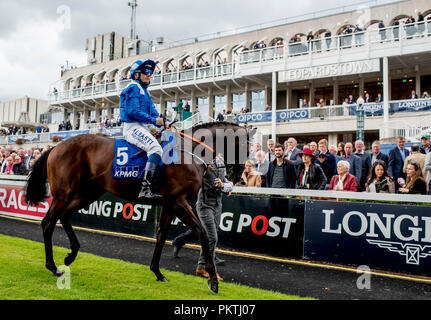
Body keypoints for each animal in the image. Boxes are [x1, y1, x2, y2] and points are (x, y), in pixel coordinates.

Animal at [24, 121, 253, 294]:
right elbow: (202, 233)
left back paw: (70, 255)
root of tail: (55, 147)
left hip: (88, 193)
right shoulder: (179, 200)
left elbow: (161, 235)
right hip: (64, 193)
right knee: (48, 223)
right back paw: (53, 267)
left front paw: (158, 273)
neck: (187, 151)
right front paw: (213, 280)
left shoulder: (170, 203)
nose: (236, 176)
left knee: (64, 216)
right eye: (247, 145)